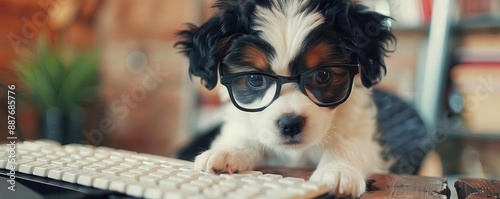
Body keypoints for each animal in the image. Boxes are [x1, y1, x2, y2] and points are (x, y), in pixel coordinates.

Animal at [176, 0, 394, 196]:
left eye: (322, 75)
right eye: (255, 79)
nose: (291, 124)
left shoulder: (361, 134)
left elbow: (348, 144)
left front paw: (338, 170)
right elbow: (246, 137)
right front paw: (227, 150)